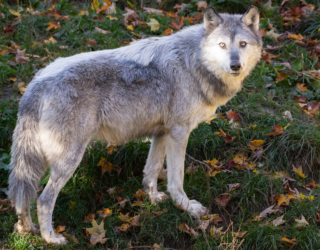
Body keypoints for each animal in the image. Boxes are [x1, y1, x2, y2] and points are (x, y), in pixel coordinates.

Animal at [8, 5, 262, 244]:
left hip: (36, 161)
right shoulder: (179, 132)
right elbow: (176, 178)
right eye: (222, 45)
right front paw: (186, 207)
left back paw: (27, 230)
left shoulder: (162, 132)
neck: (194, 62)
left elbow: (151, 170)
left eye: (242, 44)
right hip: (68, 159)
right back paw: (51, 238)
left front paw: (154, 199)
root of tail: (36, 84)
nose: (235, 65)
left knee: (22, 197)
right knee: (43, 200)